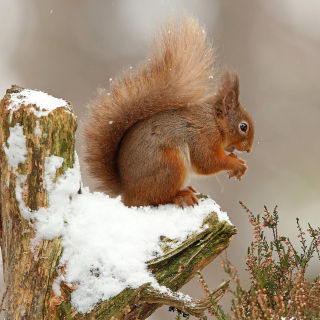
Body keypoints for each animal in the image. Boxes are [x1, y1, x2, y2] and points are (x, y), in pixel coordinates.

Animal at [82, 16, 255, 208]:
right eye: (243, 127)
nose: (249, 149)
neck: (214, 121)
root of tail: (128, 194)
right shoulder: (203, 137)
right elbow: (207, 161)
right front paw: (236, 163)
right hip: (170, 164)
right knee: (157, 197)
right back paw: (180, 195)